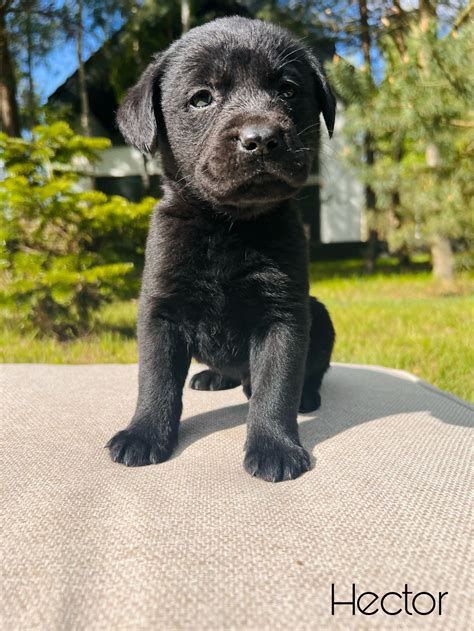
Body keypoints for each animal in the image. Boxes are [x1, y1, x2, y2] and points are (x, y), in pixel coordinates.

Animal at [107, 17, 336, 484]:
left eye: (288, 91)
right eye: (202, 98)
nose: (261, 138)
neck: (229, 226)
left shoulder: (285, 314)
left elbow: (276, 386)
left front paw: (275, 446)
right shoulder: (160, 310)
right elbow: (155, 379)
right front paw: (143, 433)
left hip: (318, 313)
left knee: (308, 373)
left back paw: (306, 396)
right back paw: (215, 377)